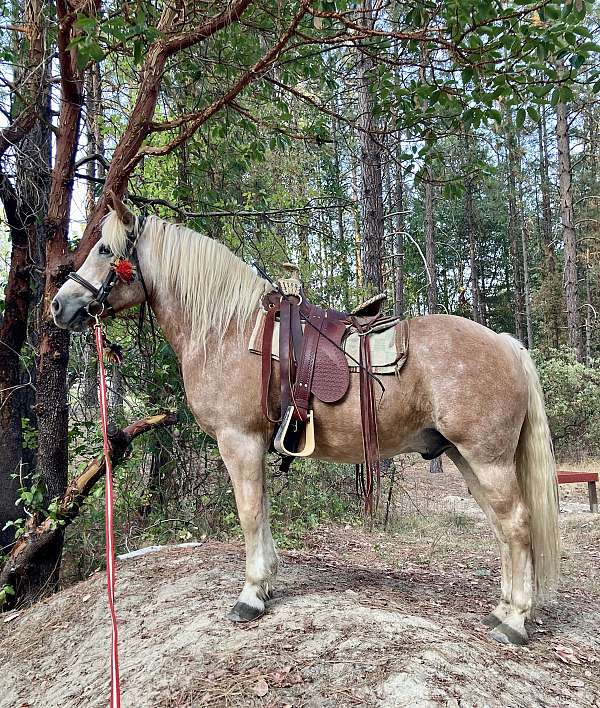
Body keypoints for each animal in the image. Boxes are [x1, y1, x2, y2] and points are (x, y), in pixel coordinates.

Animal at [52, 201, 560, 646]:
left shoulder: (239, 442)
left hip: (487, 459)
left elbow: (250, 513)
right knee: (502, 527)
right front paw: (266, 584)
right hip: (465, 458)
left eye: (105, 249)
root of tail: (505, 343)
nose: (59, 306)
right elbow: (262, 512)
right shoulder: (252, 446)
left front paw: (251, 595)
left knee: (516, 523)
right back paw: (503, 608)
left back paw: (515, 621)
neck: (228, 331)